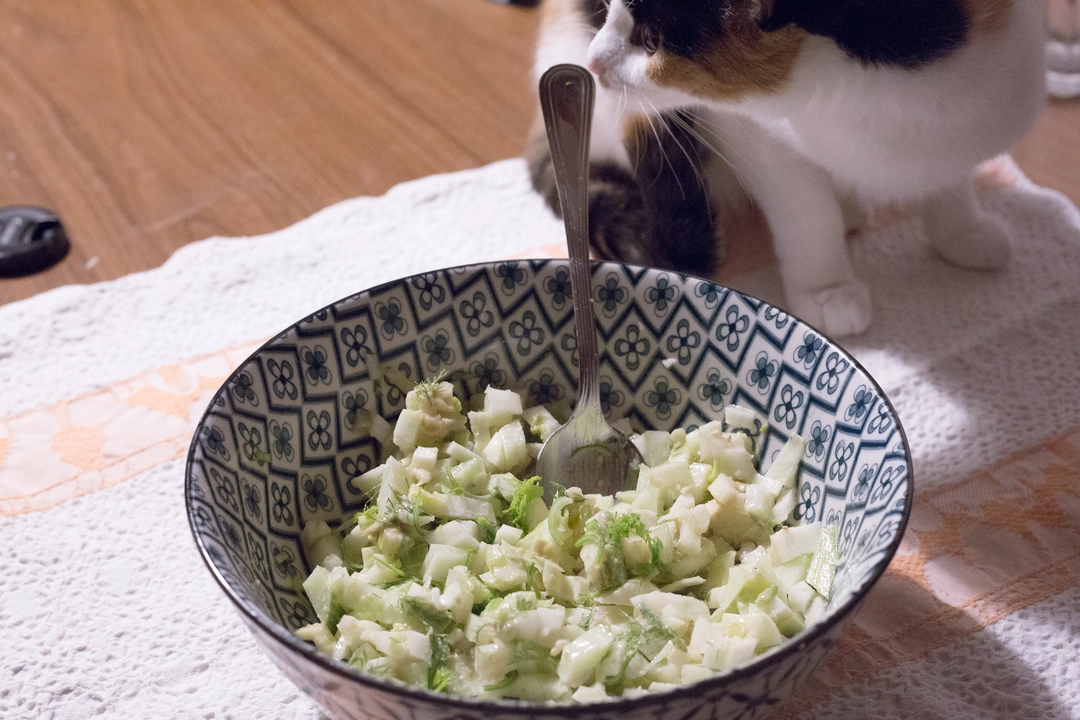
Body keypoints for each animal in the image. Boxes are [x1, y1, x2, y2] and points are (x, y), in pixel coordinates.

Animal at [527, 0, 1041, 336]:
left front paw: (961, 230)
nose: (592, 63)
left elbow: (950, 174)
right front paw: (828, 290)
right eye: (608, 6)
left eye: (652, 41)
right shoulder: (755, 132)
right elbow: (807, 213)